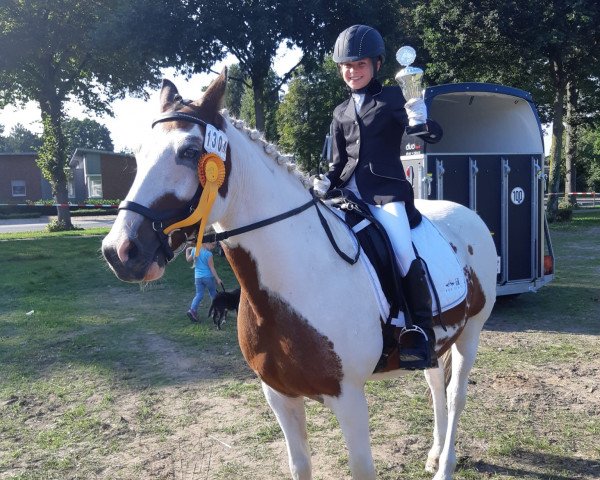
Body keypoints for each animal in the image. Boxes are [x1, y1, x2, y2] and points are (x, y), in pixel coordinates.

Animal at [102, 68, 496, 480]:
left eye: (190, 152)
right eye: (138, 154)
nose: (120, 251)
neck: (295, 281)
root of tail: (467, 214)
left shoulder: (349, 398)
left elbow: (362, 467)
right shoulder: (279, 395)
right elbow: (299, 464)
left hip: (471, 332)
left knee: (455, 395)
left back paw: (445, 466)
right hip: (439, 340)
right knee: (435, 384)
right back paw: (435, 455)